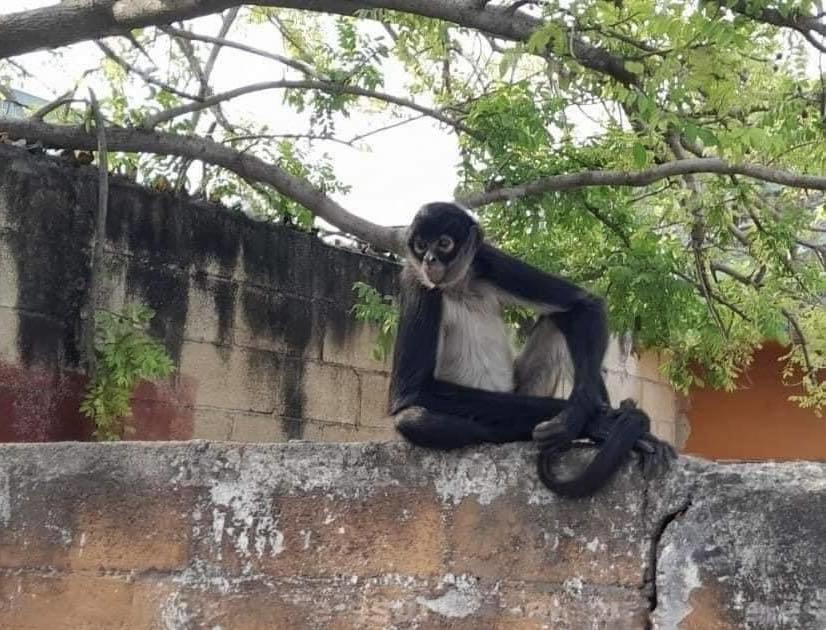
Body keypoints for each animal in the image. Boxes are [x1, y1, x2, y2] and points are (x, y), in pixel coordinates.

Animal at [384, 202, 672, 498]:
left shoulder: (486, 260)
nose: (429, 259)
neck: (459, 284)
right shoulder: (415, 279)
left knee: (562, 319)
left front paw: (577, 416)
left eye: (443, 243)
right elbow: (412, 390)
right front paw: (592, 422)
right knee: (413, 419)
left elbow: (585, 303)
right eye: (421, 245)